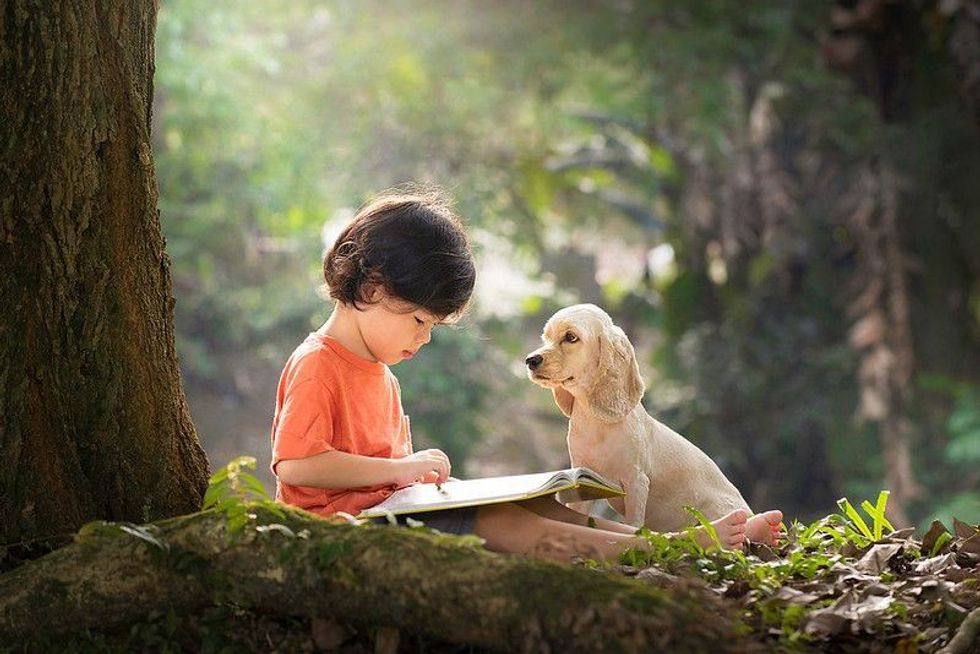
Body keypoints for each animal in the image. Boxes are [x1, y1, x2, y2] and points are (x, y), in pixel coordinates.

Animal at [528, 304, 780, 540]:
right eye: (546, 338)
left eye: (571, 337)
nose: (531, 360)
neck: (597, 423)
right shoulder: (583, 480)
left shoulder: (636, 482)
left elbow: (632, 524)